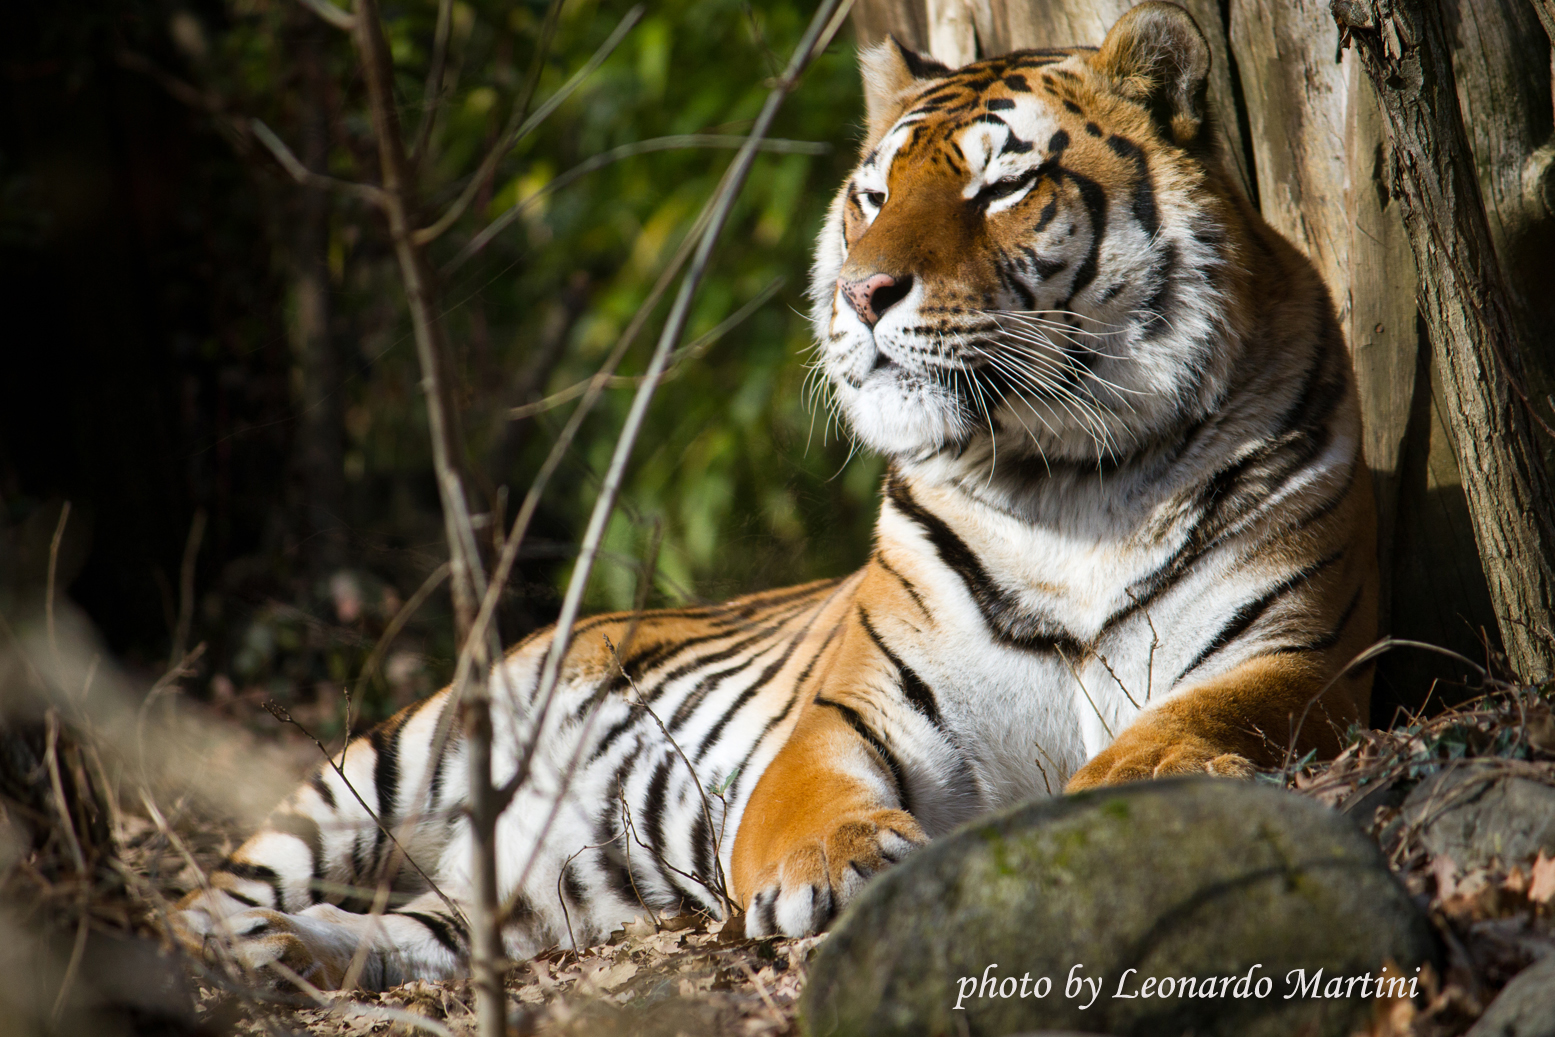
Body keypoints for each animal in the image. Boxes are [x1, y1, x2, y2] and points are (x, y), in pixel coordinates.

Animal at [175, 1, 1377, 990]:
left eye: (1000, 187)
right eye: (874, 196)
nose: (862, 291)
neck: (1074, 481)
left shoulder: (1293, 654)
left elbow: (1192, 719)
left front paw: (1128, 792)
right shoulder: (858, 708)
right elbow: (810, 793)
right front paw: (834, 865)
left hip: (502, 906)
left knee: (407, 934)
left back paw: (289, 954)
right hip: (385, 763)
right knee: (217, 887)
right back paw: (211, 949)